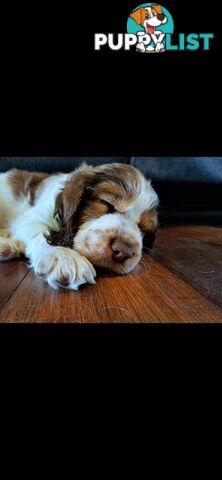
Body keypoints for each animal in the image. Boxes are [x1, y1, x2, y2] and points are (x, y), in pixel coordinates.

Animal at [0, 163, 158, 288]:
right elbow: (40, 231)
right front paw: (64, 256)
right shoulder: (31, 217)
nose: (124, 252)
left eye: (143, 229)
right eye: (108, 204)